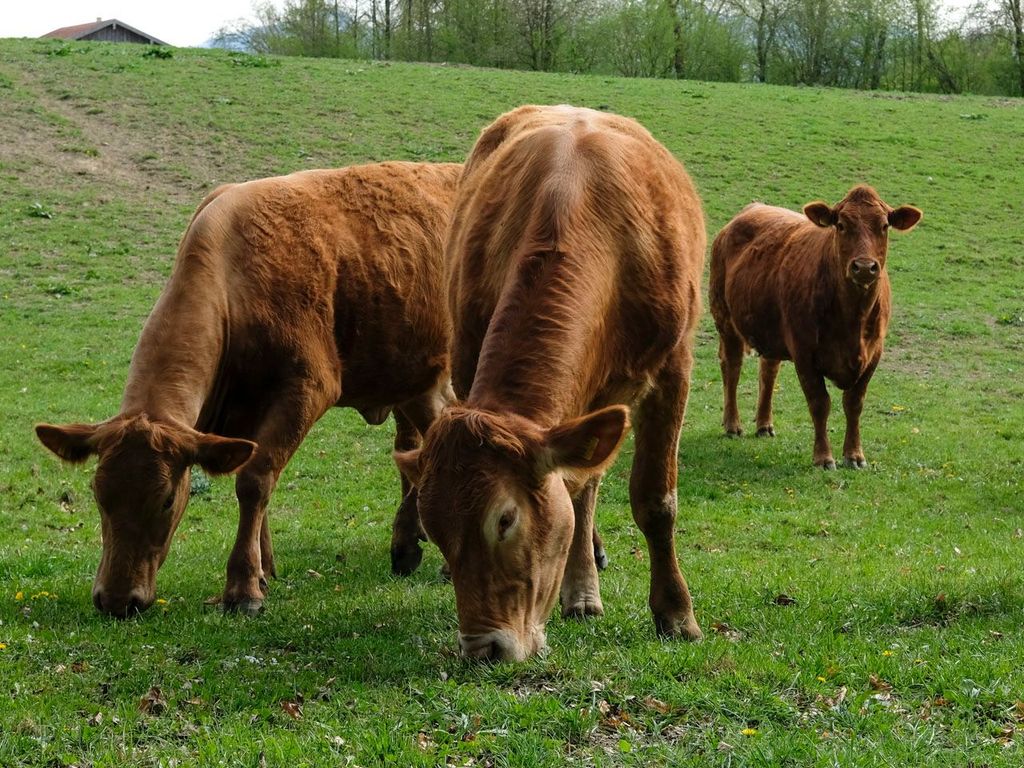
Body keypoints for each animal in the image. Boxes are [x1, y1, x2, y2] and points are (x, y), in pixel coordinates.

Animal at [35, 161, 462, 616]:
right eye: (98, 494)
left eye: (167, 499)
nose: (116, 600)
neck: (234, 284)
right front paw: (264, 569)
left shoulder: (306, 388)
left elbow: (255, 480)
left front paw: (243, 588)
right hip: (414, 379)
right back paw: (409, 545)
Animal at [394, 105, 707, 661]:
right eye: (436, 527)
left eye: (505, 519)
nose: (483, 649)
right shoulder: (468, 360)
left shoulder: (673, 370)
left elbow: (655, 500)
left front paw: (676, 614)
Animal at [709, 184, 922, 469]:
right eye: (841, 225)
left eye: (884, 225)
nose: (864, 267)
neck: (853, 319)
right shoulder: (804, 352)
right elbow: (820, 403)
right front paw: (823, 457)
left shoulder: (874, 353)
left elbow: (854, 403)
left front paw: (854, 455)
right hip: (724, 317)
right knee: (732, 366)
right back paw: (733, 425)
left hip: (771, 328)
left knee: (768, 371)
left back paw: (764, 424)